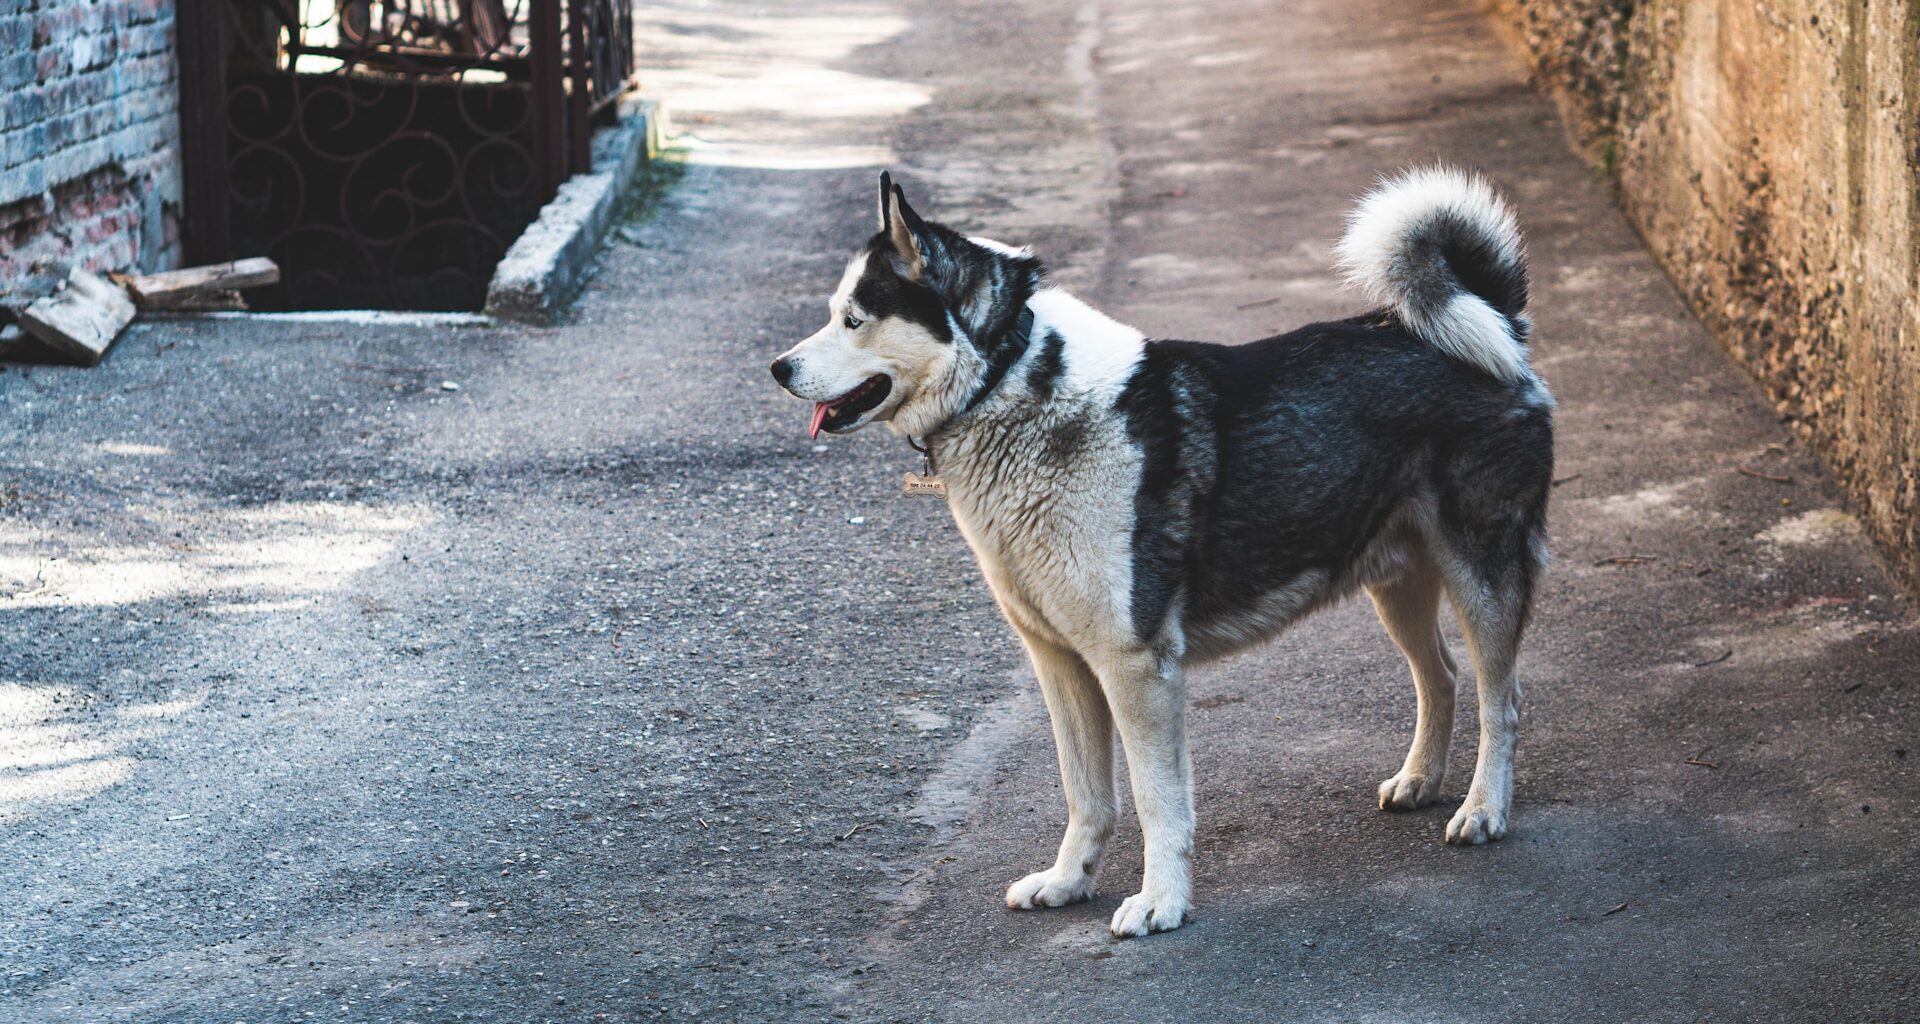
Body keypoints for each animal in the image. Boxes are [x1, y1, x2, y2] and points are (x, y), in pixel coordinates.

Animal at [771, 165, 1551, 933]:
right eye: (835, 312)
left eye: (854, 319)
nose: (778, 368)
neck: (1010, 380)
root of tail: (1496, 317)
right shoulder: (1060, 665)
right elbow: (1086, 795)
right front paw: (1068, 881)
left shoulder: (1135, 664)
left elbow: (1157, 801)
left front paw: (1160, 903)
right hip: (1397, 584)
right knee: (1441, 676)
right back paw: (1421, 781)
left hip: (1481, 576)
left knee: (1501, 697)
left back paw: (1483, 809)